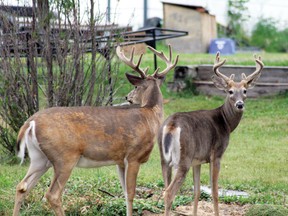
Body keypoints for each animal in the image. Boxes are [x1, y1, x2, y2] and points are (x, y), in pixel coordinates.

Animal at [13, 44, 179, 215]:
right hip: (64, 156)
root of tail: (30, 122)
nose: (127, 97)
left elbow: (126, 193)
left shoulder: (120, 160)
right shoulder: (134, 156)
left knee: (22, 187)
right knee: (52, 194)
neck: (150, 115)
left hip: (39, 157)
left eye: (135, 87)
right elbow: (131, 193)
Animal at [158, 52, 264, 216]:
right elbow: (214, 192)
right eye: (230, 91)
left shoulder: (198, 160)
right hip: (183, 159)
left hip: (164, 160)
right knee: (169, 193)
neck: (225, 122)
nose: (240, 104)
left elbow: (196, 192)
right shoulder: (216, 154)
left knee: (165, 188)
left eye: (245, 91)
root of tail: (171, 125)